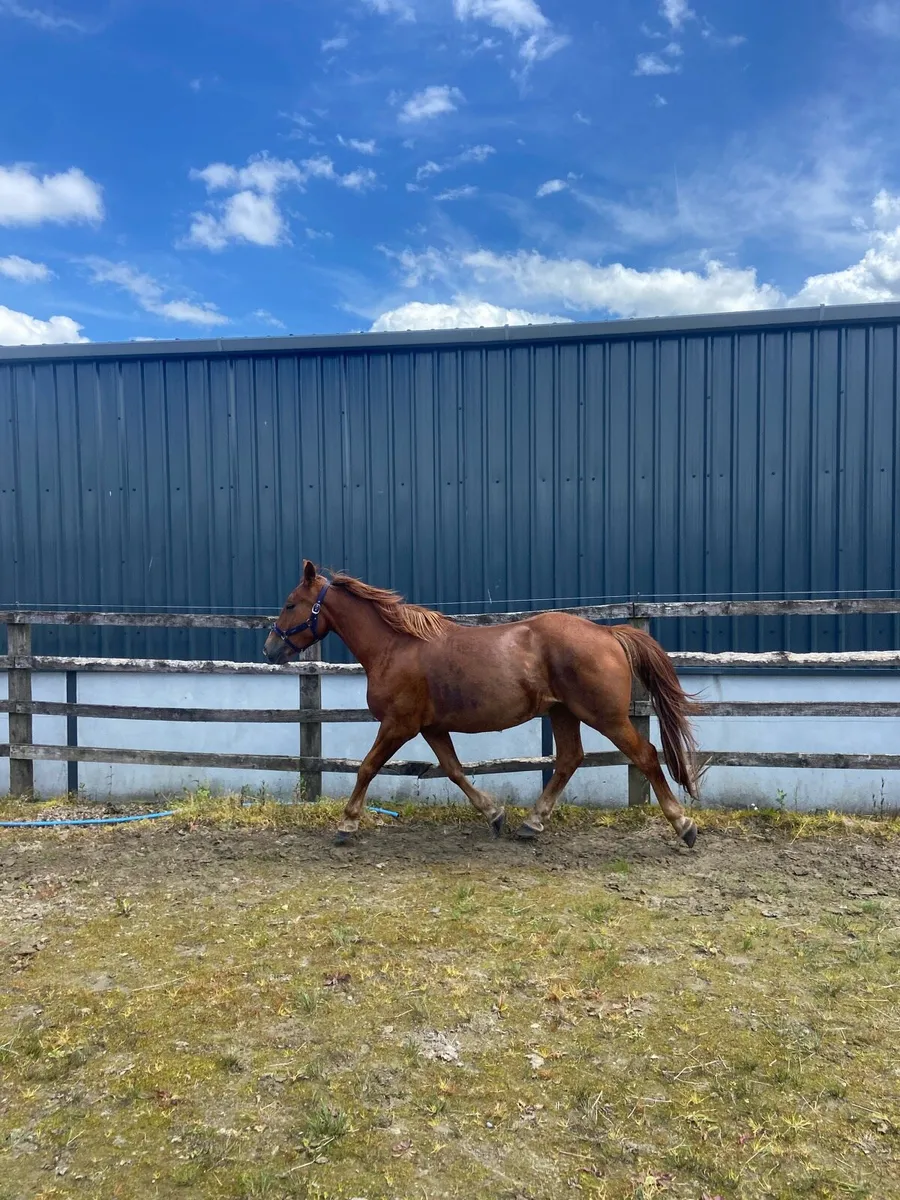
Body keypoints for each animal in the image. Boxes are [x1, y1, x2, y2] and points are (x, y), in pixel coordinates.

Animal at [263, 562, 700, 848]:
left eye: (290, 603)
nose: (270, 650)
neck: (395, 647)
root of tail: (608, 633)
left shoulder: (398, 724)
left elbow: (367, 767)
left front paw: (347, 825)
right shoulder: (431, 727)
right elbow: (454, 771)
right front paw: (495, 815)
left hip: (604, 715)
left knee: (645, 755)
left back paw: (684, 825)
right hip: (563, 712)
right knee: (569, 759)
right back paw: (532, 824)